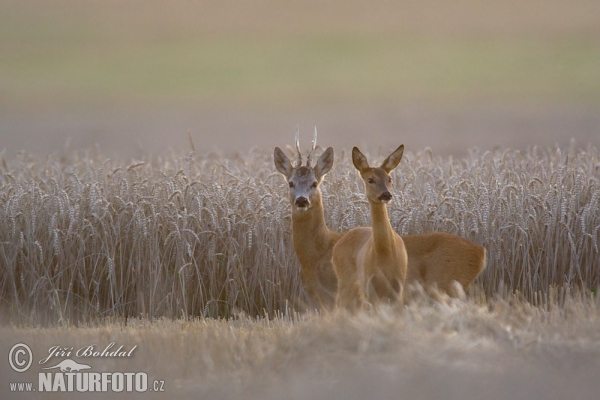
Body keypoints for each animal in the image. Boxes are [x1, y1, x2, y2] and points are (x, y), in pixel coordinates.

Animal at [332, 145, 408, 310]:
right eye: (370, 179)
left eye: (389, 179)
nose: (386, 194)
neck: (385, 254)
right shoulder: (370, 286)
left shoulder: (398, 286)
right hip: (346, 280)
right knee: (339, 305)